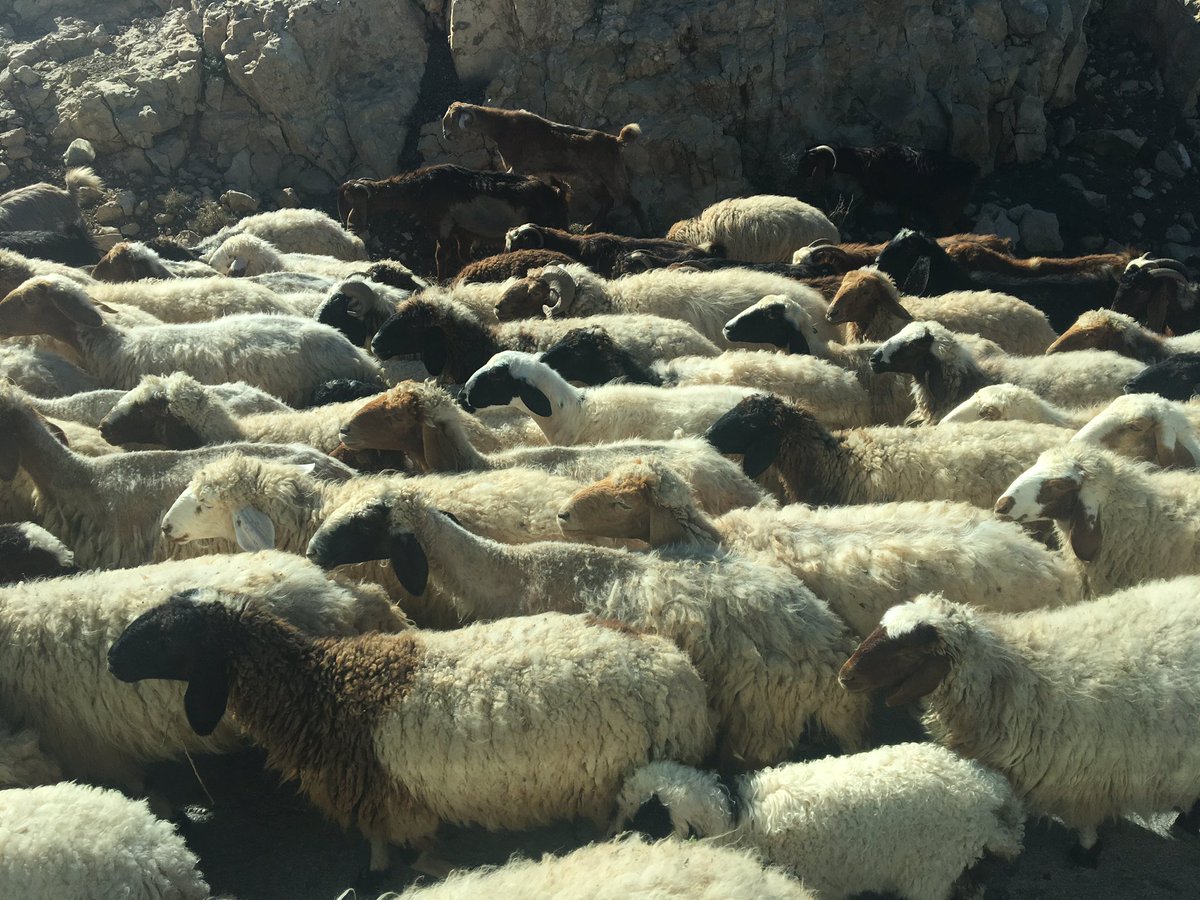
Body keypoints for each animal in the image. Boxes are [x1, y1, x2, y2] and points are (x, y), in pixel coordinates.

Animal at [109, 594, 713, 871]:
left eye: (167, 637)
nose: (113, 658)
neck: (328, 689)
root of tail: (675, 669)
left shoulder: (393, 800)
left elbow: (407, 851)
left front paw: (399, 872)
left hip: (616, 786)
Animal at [337, 165, 570, 279]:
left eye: (353, 201)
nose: (351, 225)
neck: (421, 189)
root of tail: (557, 194)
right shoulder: (462, 232)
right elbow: (463, 256)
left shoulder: (443, 225)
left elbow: (441, 256)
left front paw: (440, 282)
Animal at [441, 101, 649, 231]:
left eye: (450, 119)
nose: (445, 134)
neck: (501, 126)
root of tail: (615, 140)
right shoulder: (539, 171)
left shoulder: (518, 165)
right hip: (592, 179)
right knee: (608, 201)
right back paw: (590, 227)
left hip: (612, 174)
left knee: (631, 201)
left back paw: (646, 231)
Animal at [796, 143, 979, 233]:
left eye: (808, 160)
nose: (798, 173)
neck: (864, 160)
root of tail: (969, 170)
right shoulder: (903, 202)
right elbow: (905, 221)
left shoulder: (875, 195)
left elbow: (862, 211)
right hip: (954, 208)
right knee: (967, 225)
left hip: (945, 211)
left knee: (950, 229)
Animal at [839, 584, 1200, 863]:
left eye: (905, 651)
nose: (845, 676)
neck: (1014, 675)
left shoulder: (1085, 776)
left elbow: (1085, 822)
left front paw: (1086, 852)